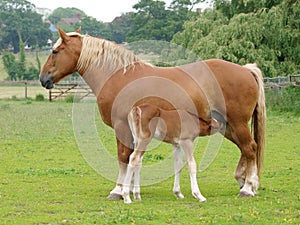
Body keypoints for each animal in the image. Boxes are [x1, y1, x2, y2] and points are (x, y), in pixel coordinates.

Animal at [39, 28, 264, 202]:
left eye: (55, 51)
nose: (43, 79)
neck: (118, 76)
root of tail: (245, 69)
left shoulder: (121, 126)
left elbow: (124, 157)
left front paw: (118, 190)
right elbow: (133, 158)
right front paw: (130, 190)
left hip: (237, 123)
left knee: (250, 148)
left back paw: (247, 188)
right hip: (225, 125)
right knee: (245, 148)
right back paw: (244, 181)